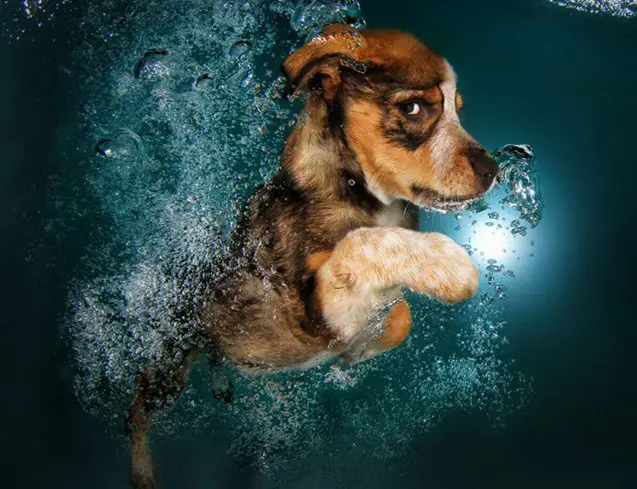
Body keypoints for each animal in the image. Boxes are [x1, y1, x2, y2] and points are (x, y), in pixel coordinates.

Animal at [128, 24, 496, 486]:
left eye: (459, 110)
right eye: (413, 108)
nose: (493, 171)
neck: (361, 195)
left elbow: (400, 316)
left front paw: (355, 354)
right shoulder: (306, 315)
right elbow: (361, 244)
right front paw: (445, 264)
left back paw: (228, 382)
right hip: (170, 362)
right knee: (138, 406)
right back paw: (143, 471)